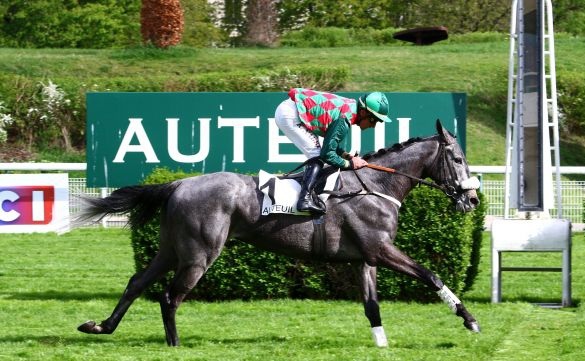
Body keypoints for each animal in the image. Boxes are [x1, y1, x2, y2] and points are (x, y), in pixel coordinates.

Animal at [77, 120, 480, 346]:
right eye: (458, 159)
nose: (473, 199)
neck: (375, 185)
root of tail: (178, 184)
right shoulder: (381, 249)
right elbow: (431, 274)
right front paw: (470, 320)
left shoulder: (365, 257)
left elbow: (371, 305)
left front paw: (382, 345)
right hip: (198, 254)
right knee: (169, 296)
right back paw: (173, 344)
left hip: (170, 249)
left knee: (137, 282)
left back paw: (101, 327)